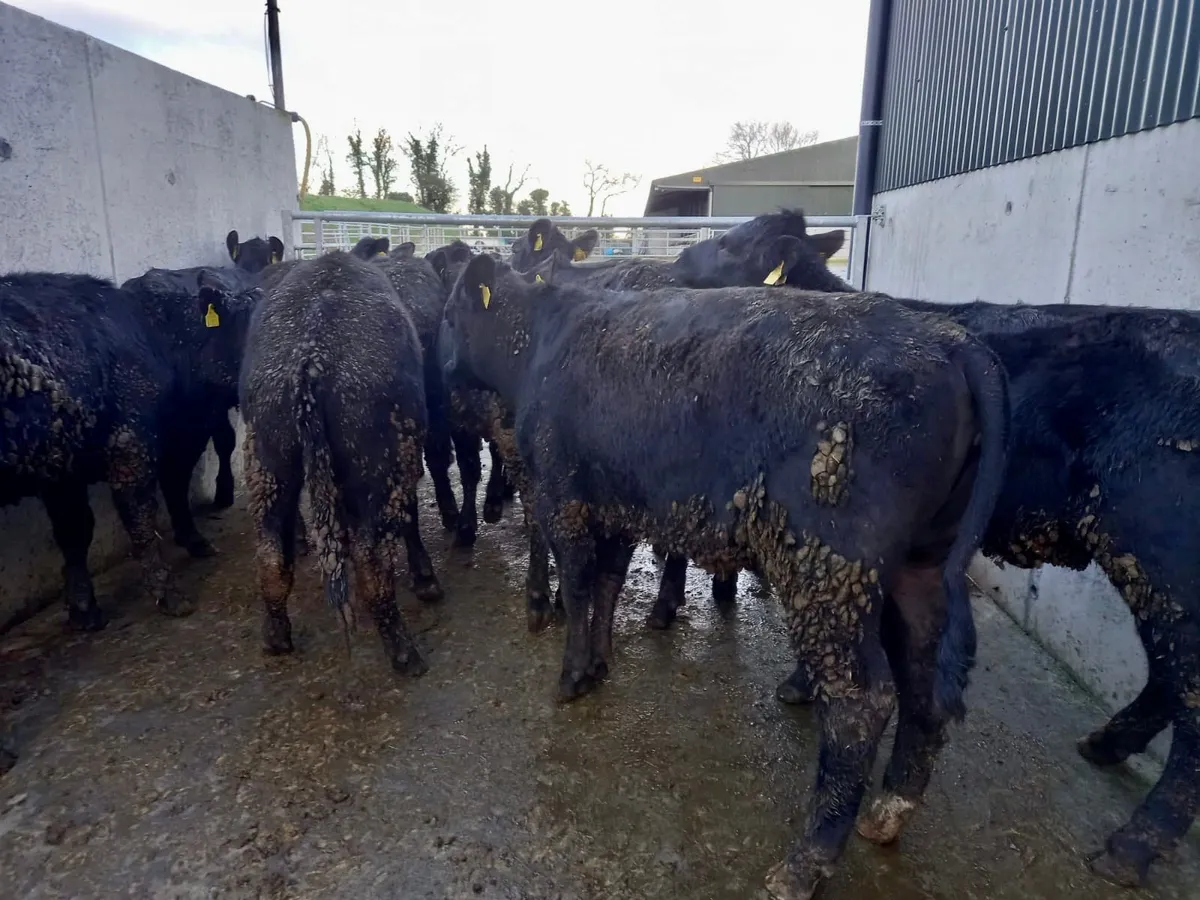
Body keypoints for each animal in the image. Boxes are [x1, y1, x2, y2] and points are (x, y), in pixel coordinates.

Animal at [1, 271, 255, 628]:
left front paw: (83, 609)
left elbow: (74, 530)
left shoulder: (62, 468)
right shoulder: (132, 447)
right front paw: (168, 592)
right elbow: (141, 517)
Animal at [237, 250, 441, 672]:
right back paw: (403, 652)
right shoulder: (404, 455)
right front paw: (424, 577)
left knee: (271, 554)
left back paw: (276, 636)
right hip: (379, 468)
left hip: (268, 461)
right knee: (372, 561)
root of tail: (310, 357)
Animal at [441, 250, 1012, 897]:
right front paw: (600, 664)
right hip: (920, 568)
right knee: (922, 680)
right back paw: (888, 811)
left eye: (448, 315)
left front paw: (571, 675)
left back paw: (805, 862)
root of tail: (948, 340)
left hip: (832, 571)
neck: (542, 337)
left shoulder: (564, 497)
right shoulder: (616, 506)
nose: (439, 371)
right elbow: (608, 585)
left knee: (861, 702)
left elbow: (581, 586)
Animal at [681, 210, 1200, 888]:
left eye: (730, 242)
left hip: (1160, 554)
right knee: (1170, 676)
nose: (678, 260)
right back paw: (1108, 746)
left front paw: (801, 685)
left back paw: (1132, 845)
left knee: (1189, 693)